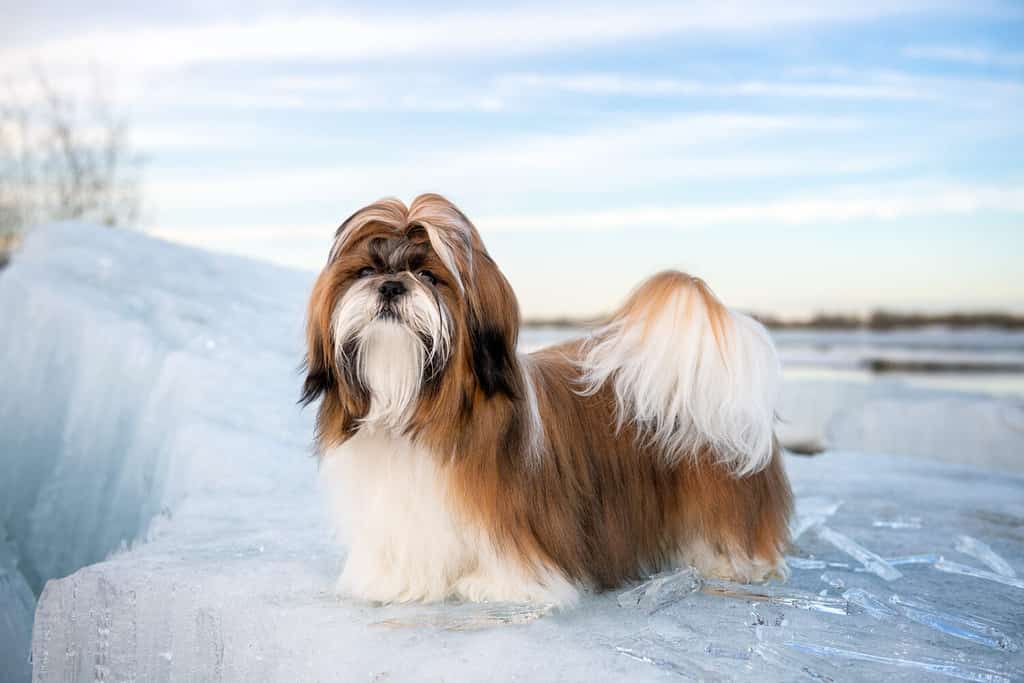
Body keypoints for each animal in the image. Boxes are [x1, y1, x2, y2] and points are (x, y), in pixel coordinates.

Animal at [303, 194, 790, 606]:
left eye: (428, 276)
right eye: (365, 272)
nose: (389, 286)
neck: (416, 406)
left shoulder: (509, 514)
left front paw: (495, 586)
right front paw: (394, 582)